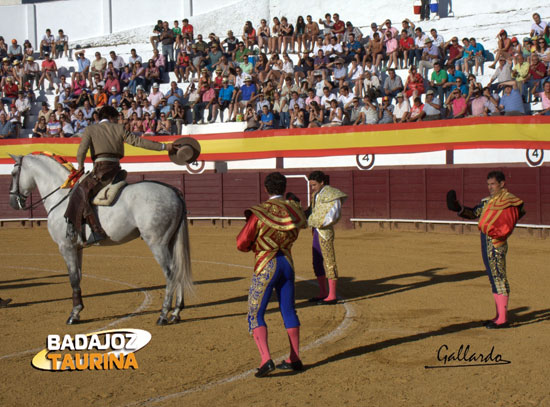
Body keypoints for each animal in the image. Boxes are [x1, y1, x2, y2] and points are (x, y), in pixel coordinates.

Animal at [8, 155, 194, 326]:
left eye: (13, 173)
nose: (12, 203)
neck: (61, 197)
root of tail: (173, 192)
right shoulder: (77, 248)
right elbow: (78, 276)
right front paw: (78, 311)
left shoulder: (66, 247)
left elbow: (73, 278)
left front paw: (73, 314)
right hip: (171, 241)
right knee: (178, 269)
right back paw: (176, 312)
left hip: (157, 243)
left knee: (170, 272)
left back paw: (163, 315)